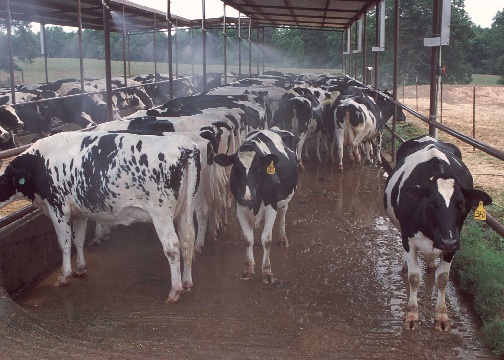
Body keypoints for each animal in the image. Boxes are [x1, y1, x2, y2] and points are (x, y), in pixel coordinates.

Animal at [214, 128, 300, 282]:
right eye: (236, 169)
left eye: (258, 168)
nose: (247, 197)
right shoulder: (240, 207)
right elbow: (248, 240)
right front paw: (248, 269)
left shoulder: (271, 206)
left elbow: (266, 239)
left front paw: (267, 272)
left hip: (286, 198)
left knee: (283, 212)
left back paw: (282, 238)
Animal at [384, 136, 490, 332]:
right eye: (431, 204)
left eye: (461, 205)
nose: (447, 241)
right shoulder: (408, 237)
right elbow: (414, 277)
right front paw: (411, 315)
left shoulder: (454, 240)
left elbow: (442, 279)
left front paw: (441, 316)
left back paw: (431, 264)